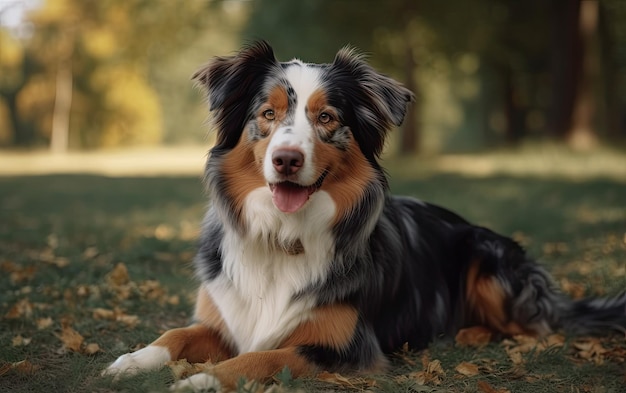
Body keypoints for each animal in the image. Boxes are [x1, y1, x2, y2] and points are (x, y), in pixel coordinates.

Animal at [103, 39, 624, 388]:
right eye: (267, 114)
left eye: (327, 118)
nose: (286, 160)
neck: (284, 236)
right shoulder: (225, 319)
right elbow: (176, 333)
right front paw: (133, 360)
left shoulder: (344, 347)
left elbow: (263, 358)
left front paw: (201, 380)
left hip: (490, 257)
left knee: (536, 327)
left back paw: (473, 333)